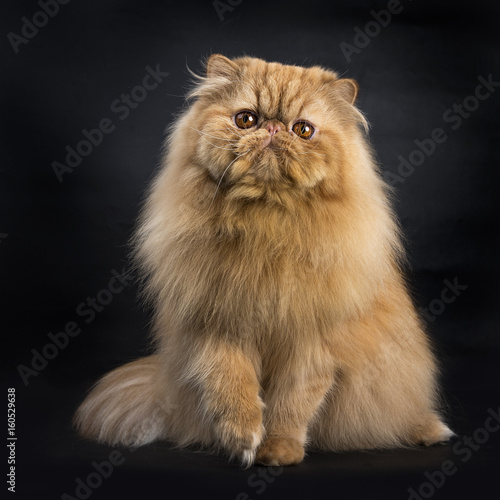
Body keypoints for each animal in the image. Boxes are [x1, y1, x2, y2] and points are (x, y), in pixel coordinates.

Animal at [74, 55, 454, 468]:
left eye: (303, 129)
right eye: (246, 119)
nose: (272, 128)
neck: (266, 224)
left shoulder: (312, 344)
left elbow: (292, 404)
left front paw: (279, 452)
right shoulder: (217, 324)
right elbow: (233, 385)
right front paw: (243, 438)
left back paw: (431, 430)